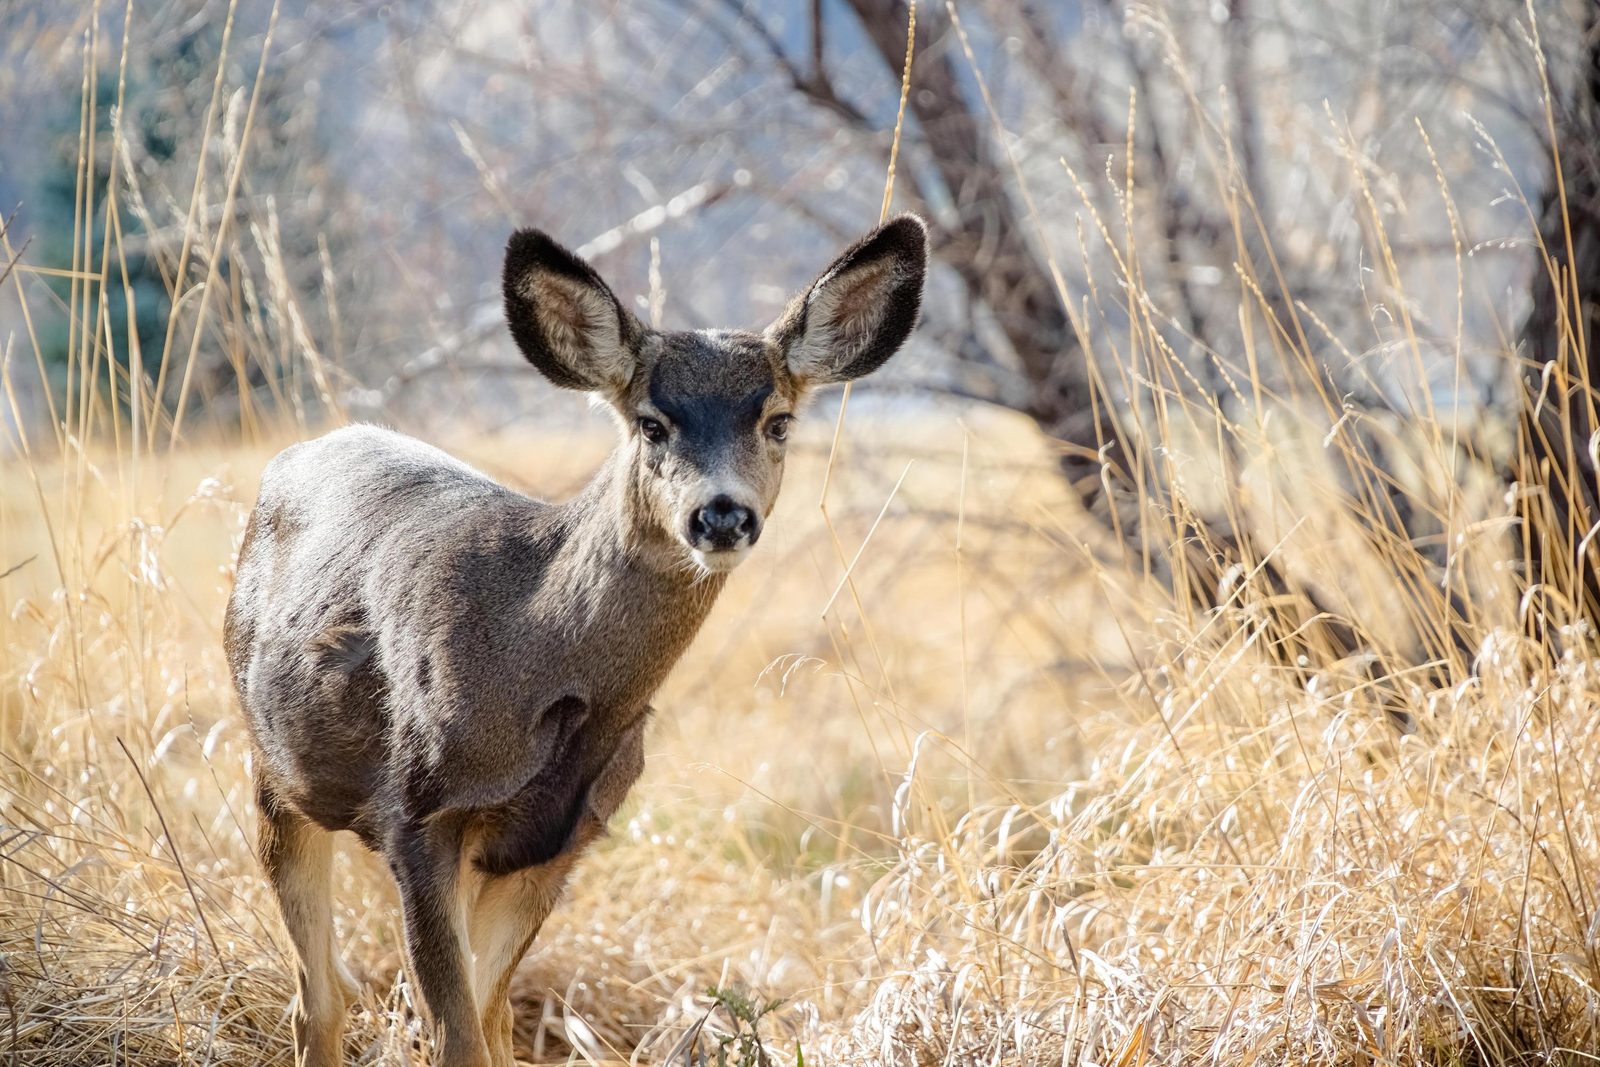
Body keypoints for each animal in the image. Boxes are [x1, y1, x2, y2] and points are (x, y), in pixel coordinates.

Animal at [223, 214, 927, 1067]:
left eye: (778, 421)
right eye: (652, 422)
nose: (722, 514)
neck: (535, 647)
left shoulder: (561, 839)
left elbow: (493, 1022)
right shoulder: (419, 812)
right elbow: (458, 1036)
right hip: (270, 766)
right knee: (318, 998)